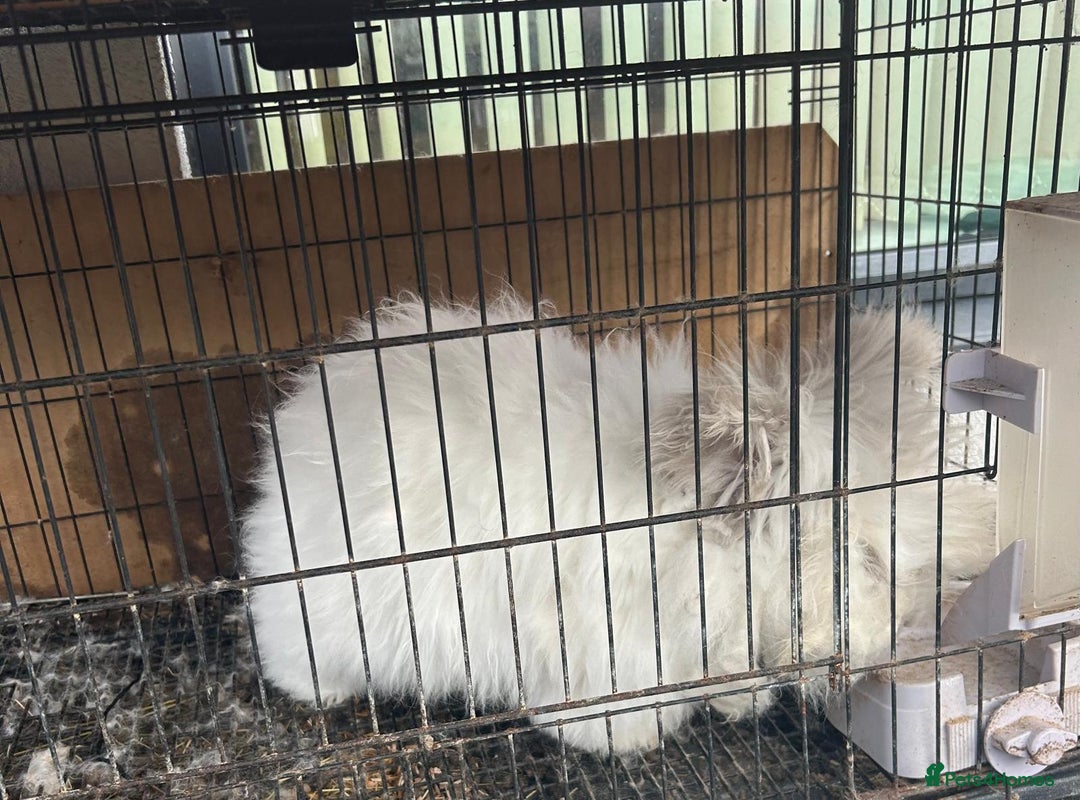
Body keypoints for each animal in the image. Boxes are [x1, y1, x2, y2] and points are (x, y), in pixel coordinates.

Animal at [240, 290, 996, 755]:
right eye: (864, 559)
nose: (895, 634)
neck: (692, 545)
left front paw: (740, 704)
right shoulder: (604, 647)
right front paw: (630, 739)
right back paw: (318, 689)